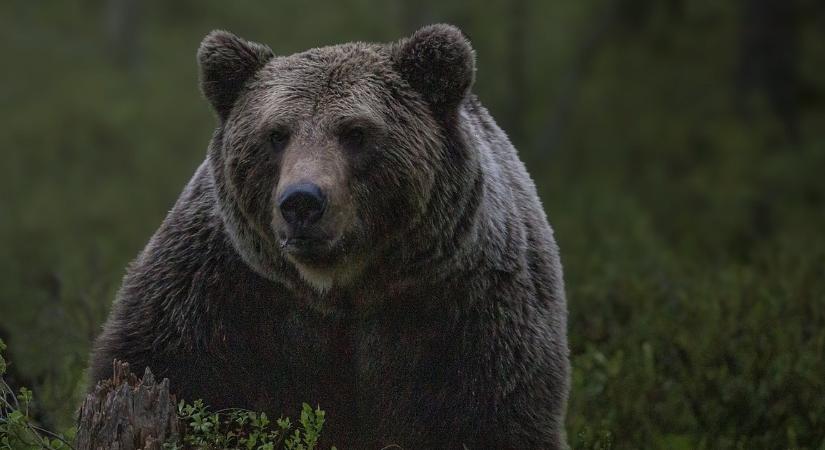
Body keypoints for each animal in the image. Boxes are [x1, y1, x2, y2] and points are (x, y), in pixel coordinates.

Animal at [88, 25, 568, 450]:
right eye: (276, 134)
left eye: (355, 132)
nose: (302, 202)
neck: (341, 288)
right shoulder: (217, 293)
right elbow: (164, 367)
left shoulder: (469, 310)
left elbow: (493, 417)